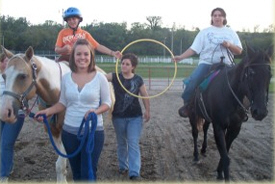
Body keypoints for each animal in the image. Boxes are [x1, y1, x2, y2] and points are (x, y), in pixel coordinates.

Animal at [0, 46, 114, 183]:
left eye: (22, 76)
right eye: (4, 76)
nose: (5, 112)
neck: (57, 92)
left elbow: (60, 163)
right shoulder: (53, 130)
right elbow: (61, 162)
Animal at [188, 44, 274, 181]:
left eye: (269, 75)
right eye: (250, 73)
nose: (260, 112)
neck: (229, 95)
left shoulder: (235, 128)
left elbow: (225, 153)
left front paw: (219, 172)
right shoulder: (219, 127)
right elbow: (225, 157)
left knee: (205, 128)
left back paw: (204, 149)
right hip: (193, 113)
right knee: (195, 133)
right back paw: (196, 155)